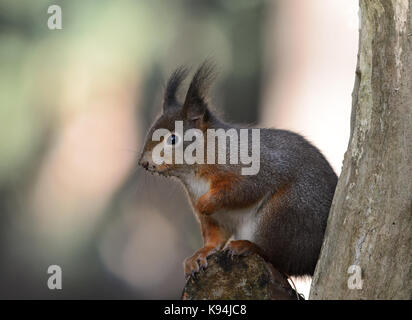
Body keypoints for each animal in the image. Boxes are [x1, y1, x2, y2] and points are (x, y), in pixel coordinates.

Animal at [139, 62, 338, 278]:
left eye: (173, 139)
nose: (143, 163)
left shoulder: (252, 169)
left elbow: (241, 190)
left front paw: (205, 203)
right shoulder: (214, 219)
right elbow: (214, 238)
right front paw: (199, 254)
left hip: (285, 212)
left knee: (281, 259)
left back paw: (248, 246)